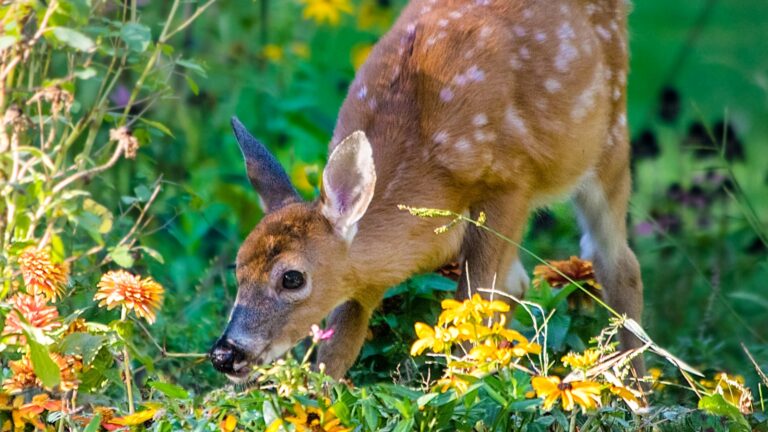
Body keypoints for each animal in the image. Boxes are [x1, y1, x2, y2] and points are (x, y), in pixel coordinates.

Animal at [210, 0, 643, 381]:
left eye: (292, 278)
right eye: (237, 266)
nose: (224, 353)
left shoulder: (510, 184)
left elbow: (472, 306)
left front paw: (460, 392)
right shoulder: (364, 277)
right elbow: (337, 350)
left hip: (609, 136)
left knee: (618, 263)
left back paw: (638, 394)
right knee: (524, 283)